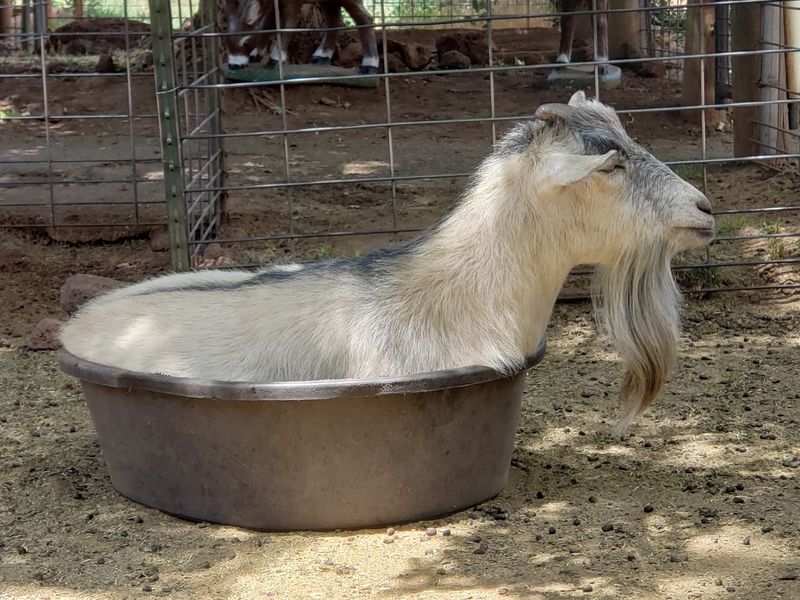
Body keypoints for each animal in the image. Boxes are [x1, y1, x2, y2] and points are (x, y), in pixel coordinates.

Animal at [221, 0, 379, 74]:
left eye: (246, 42)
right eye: (226, 40)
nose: (233, 65)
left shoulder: (293, 3)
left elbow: (287, 27)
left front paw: (274, 60)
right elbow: (267, 25)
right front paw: (256, 55)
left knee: (365, 17)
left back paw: (369, 65)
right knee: (333, 17)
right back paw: (321, 55)